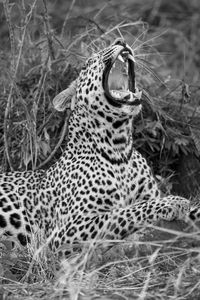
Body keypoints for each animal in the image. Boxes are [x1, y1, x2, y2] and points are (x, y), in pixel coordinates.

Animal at [0, 38, 197, 256]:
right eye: (88, 63)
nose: (120, 40)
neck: (119, 148)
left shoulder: (148, 193)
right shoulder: (64, 233)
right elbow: (123, 212)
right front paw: (175, 201)